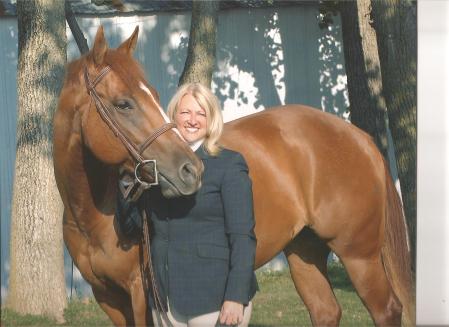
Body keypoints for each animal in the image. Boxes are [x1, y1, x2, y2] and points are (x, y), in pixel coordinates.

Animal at [54, 26, 412, 326]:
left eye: (154, 95)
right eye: (123, 104)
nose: (189, 170)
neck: (94, 216)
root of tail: (360, 137)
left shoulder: (142, 296)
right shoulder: (109, 299)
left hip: (359, 255)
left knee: (387, 310)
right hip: (304, 252)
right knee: (326, 311)